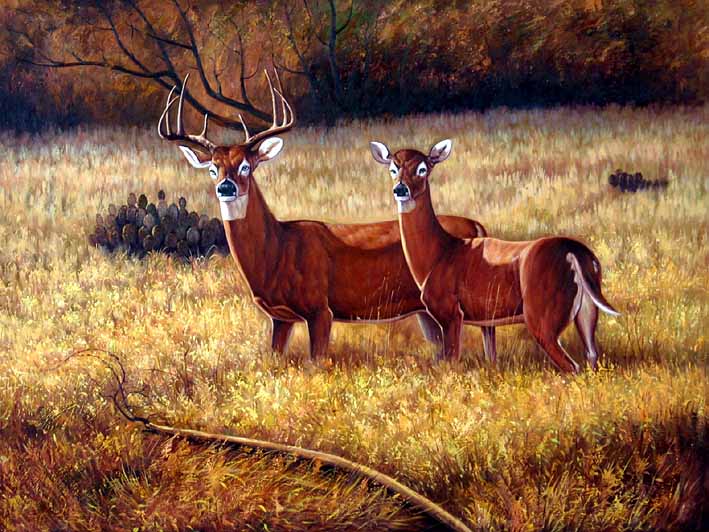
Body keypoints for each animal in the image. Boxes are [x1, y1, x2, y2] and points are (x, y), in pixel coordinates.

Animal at [157, 72, 493, 360]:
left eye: (246, 167)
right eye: (213, 169)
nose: (225, 187)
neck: (277, 251)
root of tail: (478, 226)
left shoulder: (320, 308)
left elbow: (315, 360)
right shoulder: (279, 317)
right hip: (425, 311)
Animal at [370, 139, 620, 373]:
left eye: (423, 169)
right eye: (393, 169)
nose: (400, 189)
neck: (438, 255)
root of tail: (575, 252)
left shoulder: (451, 312)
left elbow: (451, 361)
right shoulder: (485, 319)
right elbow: (490, 357)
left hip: (542, 316)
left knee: (572, 366)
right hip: (587, 312)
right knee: (591, 358)